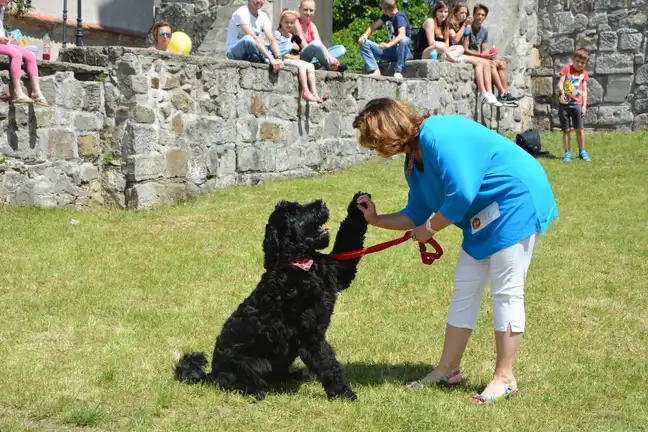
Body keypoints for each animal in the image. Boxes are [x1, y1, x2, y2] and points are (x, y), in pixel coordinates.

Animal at [175, 191, 370, 400]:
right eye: (295, 212)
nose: (322, 203)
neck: (298, 264)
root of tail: (211, 374)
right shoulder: (309, 335)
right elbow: (328, 364)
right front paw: (343, 392)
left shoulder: (339, 272)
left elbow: (350, 233)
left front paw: (360, 202)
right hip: (248, 364)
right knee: (236, 383)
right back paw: (256, 391)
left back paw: (302, 375)